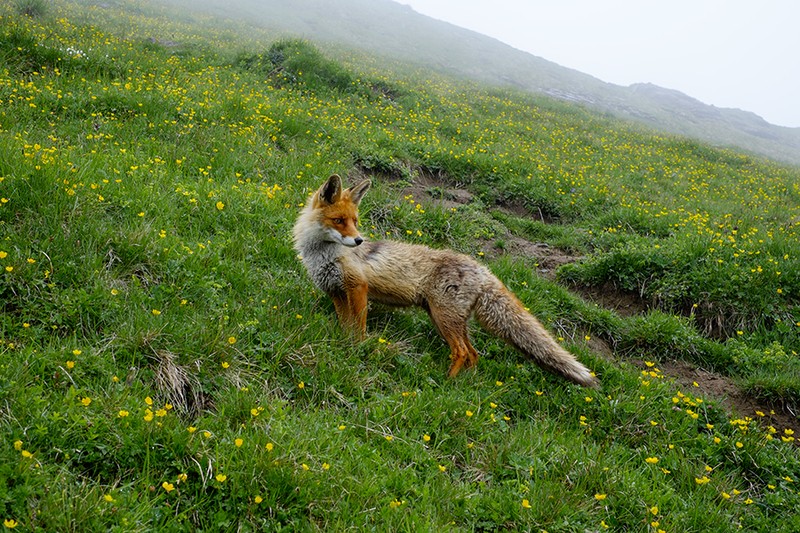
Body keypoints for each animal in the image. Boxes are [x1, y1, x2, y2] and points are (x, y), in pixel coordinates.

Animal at [290, 175, 596, 386]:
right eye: (339, 220)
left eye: (355, 221)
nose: (359, 241)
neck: (323, 256)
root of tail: (483, 268)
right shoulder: (335, 291)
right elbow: (345, 326)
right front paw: (345, 345)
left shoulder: (357, 287)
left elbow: (359, 329)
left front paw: (358, 350)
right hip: (443, 318)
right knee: (473, 353)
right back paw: (465, 385)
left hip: (443, 317)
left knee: (462, 352)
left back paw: (446, 382)